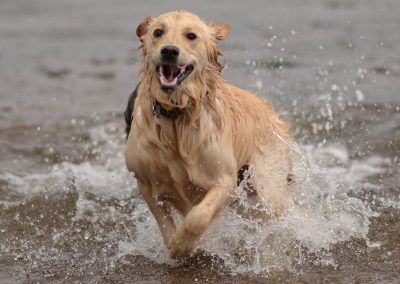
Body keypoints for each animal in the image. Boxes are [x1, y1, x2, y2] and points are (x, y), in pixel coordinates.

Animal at [125, 11, 294, 260]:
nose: (169, 51)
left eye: (191, 35)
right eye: (158, 32)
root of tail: (271, 112)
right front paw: (173, 244)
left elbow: (198, 216)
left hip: (267, 179)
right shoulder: (145, 181)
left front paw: (182, 244)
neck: (177, 116)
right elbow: (162, 219)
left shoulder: (224, 181)